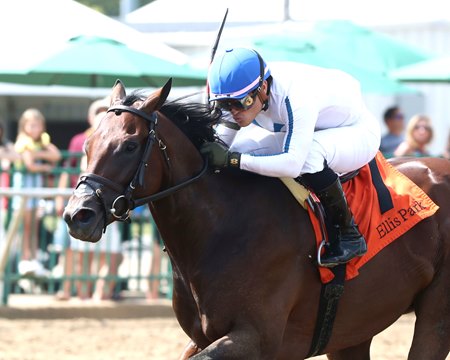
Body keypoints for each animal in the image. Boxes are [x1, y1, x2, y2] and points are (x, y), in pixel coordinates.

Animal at [63, 80, 450, 358]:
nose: (77, 215)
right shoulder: (203, 337)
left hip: (434, 317)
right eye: (88, 145)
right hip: (353, 330)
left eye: (129, 145)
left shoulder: (257, 337)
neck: (220, 229)